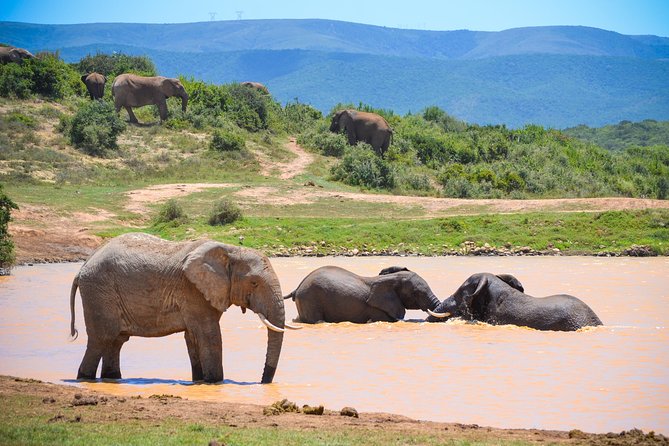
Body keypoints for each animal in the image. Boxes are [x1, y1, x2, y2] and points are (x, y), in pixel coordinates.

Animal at [69, 232, 295, 384]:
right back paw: (84, 378)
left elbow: (192, 337)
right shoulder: (192, 289)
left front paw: (200, 381)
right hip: (99, 292)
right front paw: (215, 382)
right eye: (254, 283)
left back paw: (112, 379)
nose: (262, 382)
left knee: (116, 341)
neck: (230, 250)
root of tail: (82, 267)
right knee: (102, 338)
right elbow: (210, 335)